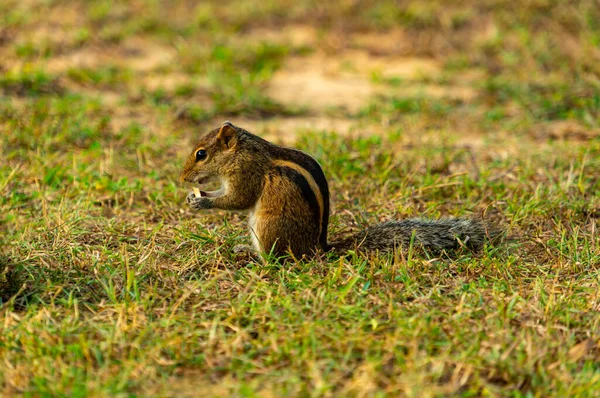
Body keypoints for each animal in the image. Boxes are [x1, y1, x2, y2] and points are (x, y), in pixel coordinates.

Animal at [179, 120, 496, 258]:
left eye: (201, 154)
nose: (183, 178)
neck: (241, 151)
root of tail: (317, 248)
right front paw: (193, 197)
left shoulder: (247, 174)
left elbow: (238, 199)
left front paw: (203, 202)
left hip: (267, 226)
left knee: (276, 258)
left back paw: (250, 253)